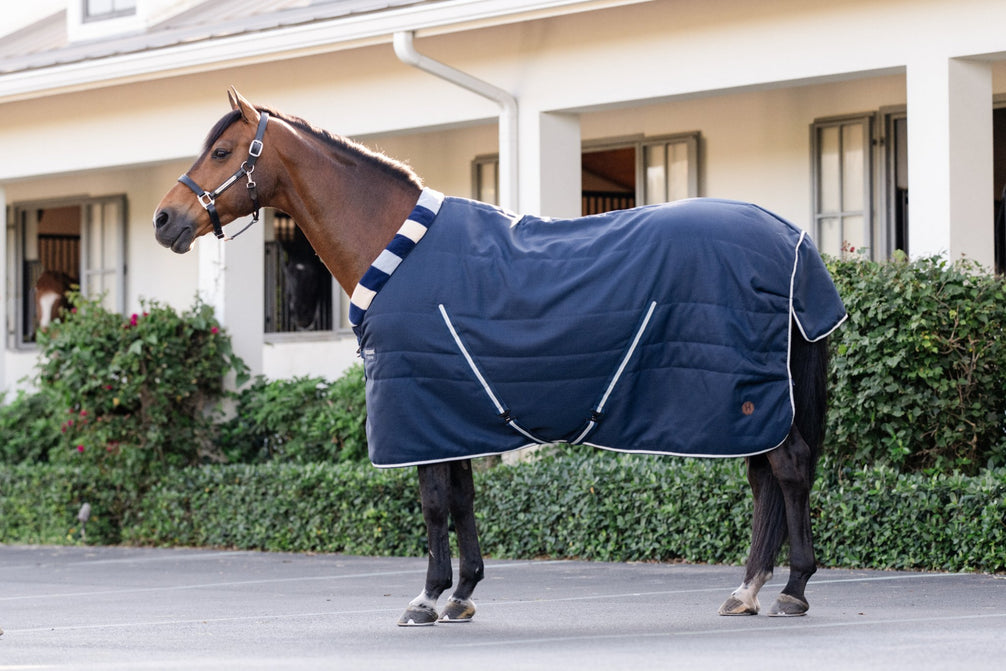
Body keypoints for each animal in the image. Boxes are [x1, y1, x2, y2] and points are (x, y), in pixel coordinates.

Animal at [154, 88, 845, 626]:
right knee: (765, 481)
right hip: (753, 404)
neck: (397, 248)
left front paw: (427, 599)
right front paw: (462, 594)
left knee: (787, 471)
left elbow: (435, 502)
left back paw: (791, 588)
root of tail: (791, 240)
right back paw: (746, 590)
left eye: (221, 152)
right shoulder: (449, 410)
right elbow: (460, 497)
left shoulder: (420, 405)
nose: (165, 220)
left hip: (754, 399)